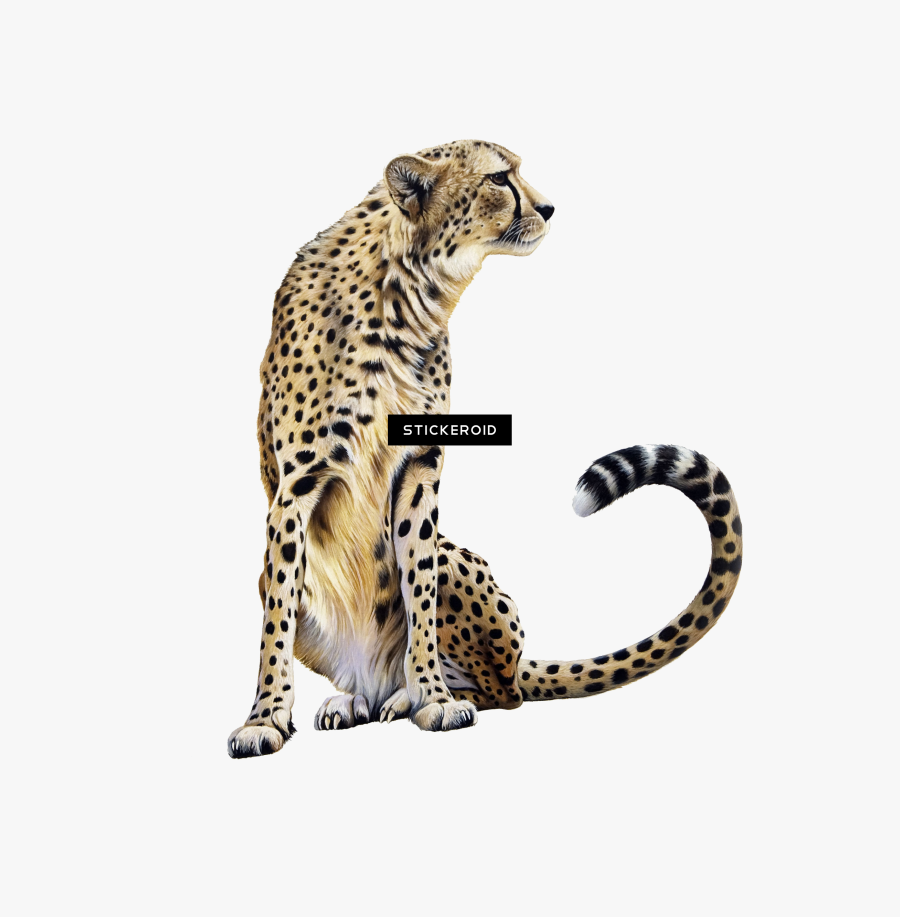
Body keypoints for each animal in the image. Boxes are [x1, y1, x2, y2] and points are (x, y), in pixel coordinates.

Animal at [227, 139, 743, 757]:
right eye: (500, 178)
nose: (549, 208)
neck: (406, 293)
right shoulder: (295, 488)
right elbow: (276, 616)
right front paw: (265, 717)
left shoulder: (421, 467)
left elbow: (418, 588)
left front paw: (432, 698)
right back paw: (357, 700)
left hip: (467, 582)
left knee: (504, 689)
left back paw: (410, 696)